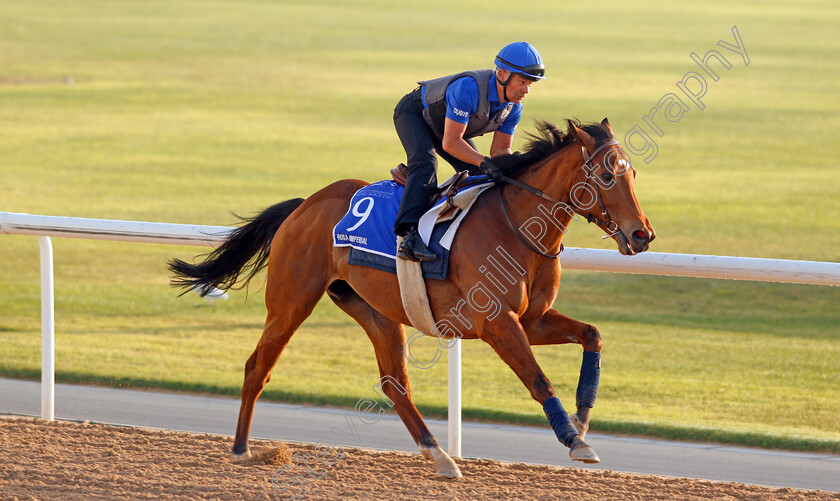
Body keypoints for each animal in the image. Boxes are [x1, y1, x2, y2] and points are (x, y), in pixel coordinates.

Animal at [171, 117, 656, 476]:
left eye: (633, 173)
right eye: (608, 174)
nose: (642, 235)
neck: (517, 226)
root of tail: (305, 205)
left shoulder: (531, 319)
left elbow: (592, 335)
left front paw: (583, 417)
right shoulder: (497, 322)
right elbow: (538, 380)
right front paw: (574, 441)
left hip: (376, 310)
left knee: (394, 383)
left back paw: (439, 455)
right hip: (292, 301)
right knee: (258, 366)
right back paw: (240, 450)